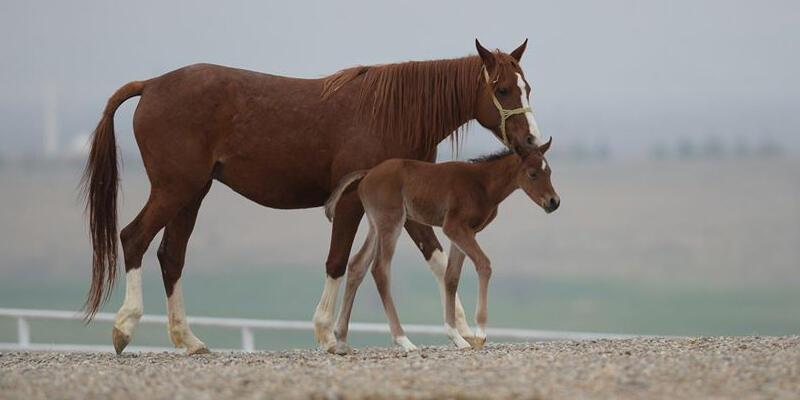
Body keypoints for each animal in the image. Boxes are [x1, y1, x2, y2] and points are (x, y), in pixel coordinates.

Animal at [324, 139, 556, 352]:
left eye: (550, 172)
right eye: (532, 174)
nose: (554, 202)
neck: (482, 184)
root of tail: (367, 174)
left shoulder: (463, 232)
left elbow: (451, 277)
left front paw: (457, 337)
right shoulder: (454, 227)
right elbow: (484, 264)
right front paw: (480, 333)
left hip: (376, 226)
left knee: (357, 265)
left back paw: (341, 339)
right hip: (391, 222)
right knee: (380, 269)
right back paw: (403, 340)